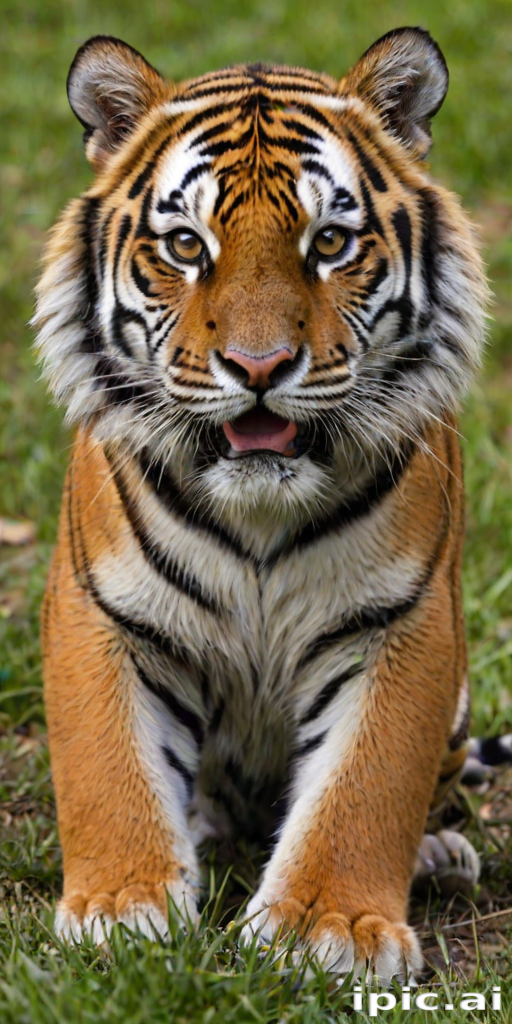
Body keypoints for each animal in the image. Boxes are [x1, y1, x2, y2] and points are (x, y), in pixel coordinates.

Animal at [33, 27, 489, 980]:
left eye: (330, 242)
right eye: (184, 246)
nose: (258, 366)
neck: (258, 517)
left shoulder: (405, 622)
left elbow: (366, 783)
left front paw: (327, 929)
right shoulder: (103, 611)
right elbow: (108, 768)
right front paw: (120, 909)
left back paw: (439, 855)